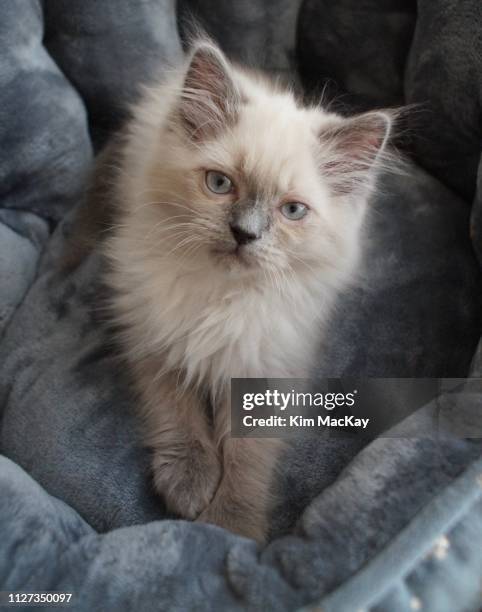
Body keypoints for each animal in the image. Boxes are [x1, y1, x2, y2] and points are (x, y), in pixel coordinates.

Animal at [103, 38, 394, 540]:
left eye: (292, 211)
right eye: (220, 184)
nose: (245, 234)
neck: (222, 297)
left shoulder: (269, 369)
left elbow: (247, 458)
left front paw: (231, 527)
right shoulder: (153, 335)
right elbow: (177, 410)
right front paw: (190, 482)